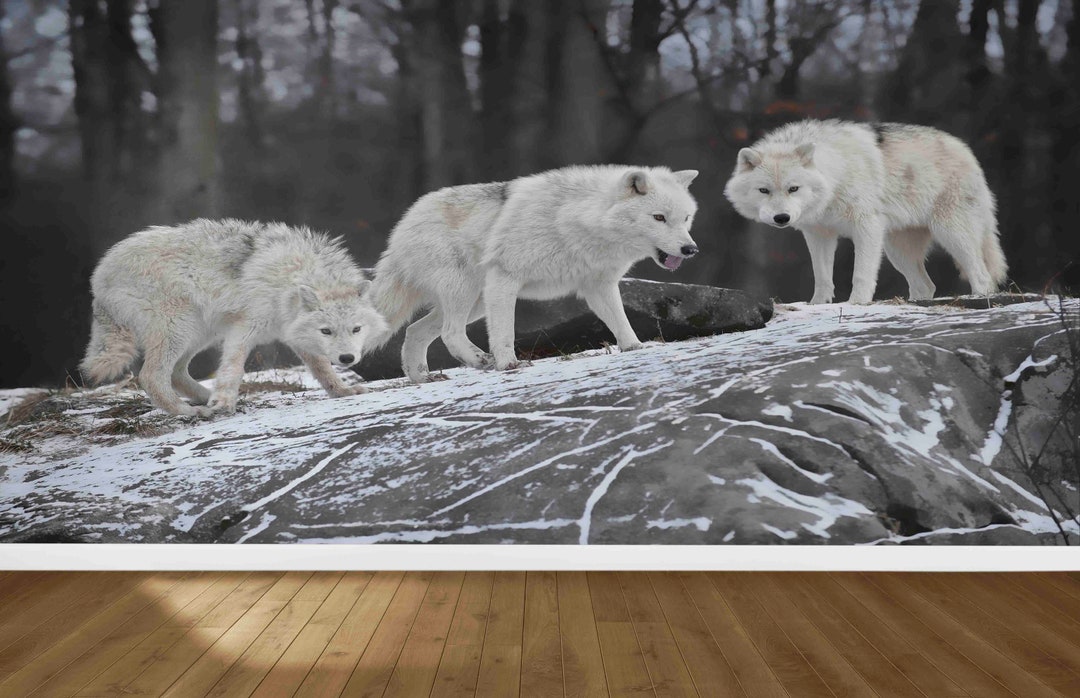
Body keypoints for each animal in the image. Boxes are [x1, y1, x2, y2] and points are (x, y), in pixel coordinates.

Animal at [80, 219, 388, 417]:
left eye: (356, 329)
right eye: (327, 331)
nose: (348, 358)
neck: (290, 278)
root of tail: (98, 276)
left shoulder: (293, 333)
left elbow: (323, 369)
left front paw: (342, 391)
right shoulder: (244, 328)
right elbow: (232, 368)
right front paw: (224, 403)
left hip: (200, 333)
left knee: (177, 374)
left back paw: (206, 399)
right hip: (180, 328)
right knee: (151, 377)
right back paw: (186, 411)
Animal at [369, 165, 700, 383]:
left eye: (686, 218)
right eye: (659, 217)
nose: (690, 249)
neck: (577, 220)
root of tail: (402, 227)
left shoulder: (599, 286)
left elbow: (621, 322)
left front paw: (635, 348)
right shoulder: (505, 278)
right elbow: (505, 333)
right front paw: (508, 365)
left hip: (475, 302)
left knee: (415, 331)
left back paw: (422, 378)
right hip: (466, 292)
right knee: (450, 333)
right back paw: (480, 361)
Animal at [724, 119, 1007, 304]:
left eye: (793, 188)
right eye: (764, 190)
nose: (781, 218)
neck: (836, 174)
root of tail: (965, 150)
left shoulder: (866, 227)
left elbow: (861, 273)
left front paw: (856, 303)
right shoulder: (818, 235)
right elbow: (822, 277)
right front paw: (818, 305)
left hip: (951, 234)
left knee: (982, 275)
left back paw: (980, 297)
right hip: (897, 251)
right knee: (926, 286)